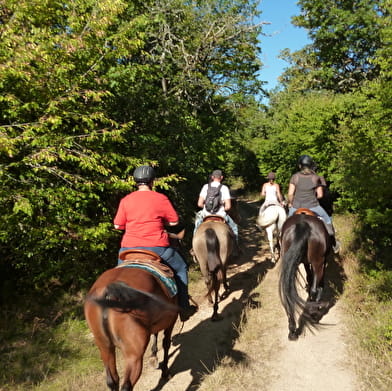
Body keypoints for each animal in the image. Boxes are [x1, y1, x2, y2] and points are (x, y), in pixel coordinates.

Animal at [86, 251, 179, 391]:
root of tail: (107, 292)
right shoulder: (171, 320)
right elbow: (166, 343)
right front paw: (164, 372)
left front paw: (154, 358)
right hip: (134, 355)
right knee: (126, 385)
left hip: (104, 347)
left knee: (112, 381)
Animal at [278, 210, 330, 342]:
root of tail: (303, 225)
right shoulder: (321, 263)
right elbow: (318, 284)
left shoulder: (305, 262)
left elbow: (309, 276)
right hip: (318, 262)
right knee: (314, 289)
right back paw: (314, 314)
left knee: (288, 292)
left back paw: (292, 331)